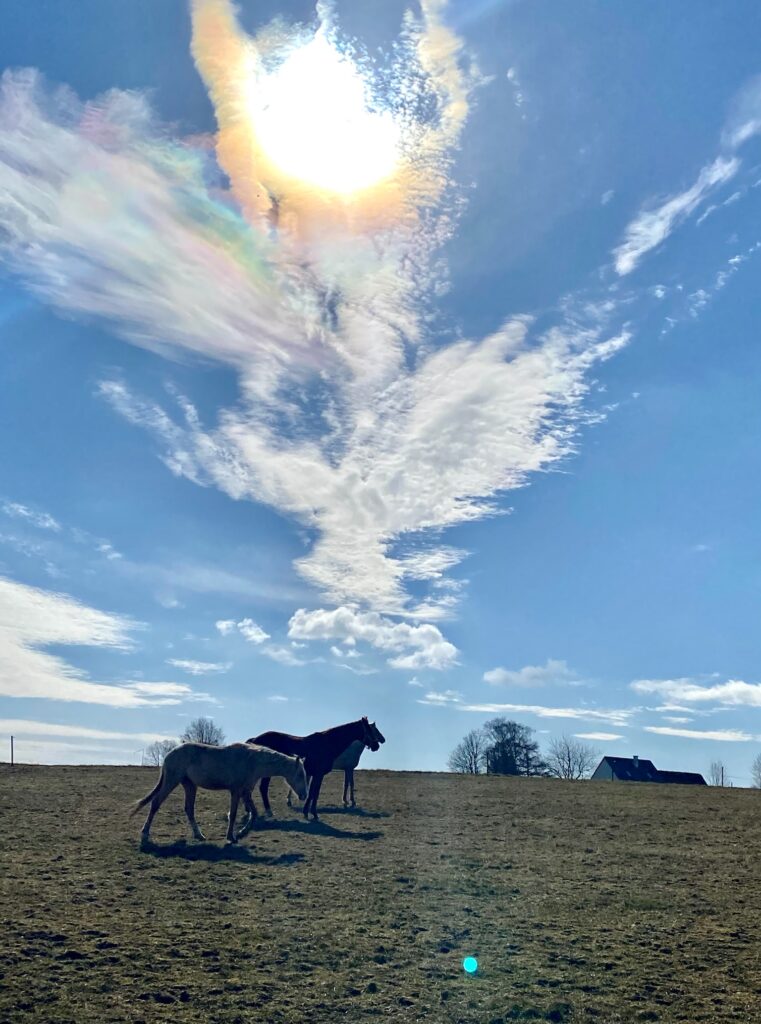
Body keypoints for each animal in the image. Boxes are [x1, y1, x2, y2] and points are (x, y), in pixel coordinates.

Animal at [130, 741, 307, 843]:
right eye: (300, 774)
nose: (304, 795)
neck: (252, 761)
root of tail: (169, 753)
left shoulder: (245, 792)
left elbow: (254, 813)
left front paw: (242, 833)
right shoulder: (236, 791)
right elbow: (234, 814)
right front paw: (232, 836)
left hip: (190, 785)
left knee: (189, 809)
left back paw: (199, 835)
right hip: (171, 781)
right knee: (155, 803)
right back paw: (145, 834)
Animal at [245, 720, 381, 823]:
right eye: (369, 730)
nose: (377, 746)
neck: (327, 744)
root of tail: (255, 739)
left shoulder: (316, 775)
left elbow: (312, 793)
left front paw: (307, 812)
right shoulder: (319, 774)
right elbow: (314, 793)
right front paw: (313, 814)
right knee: (262, 788)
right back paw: (268, 811)